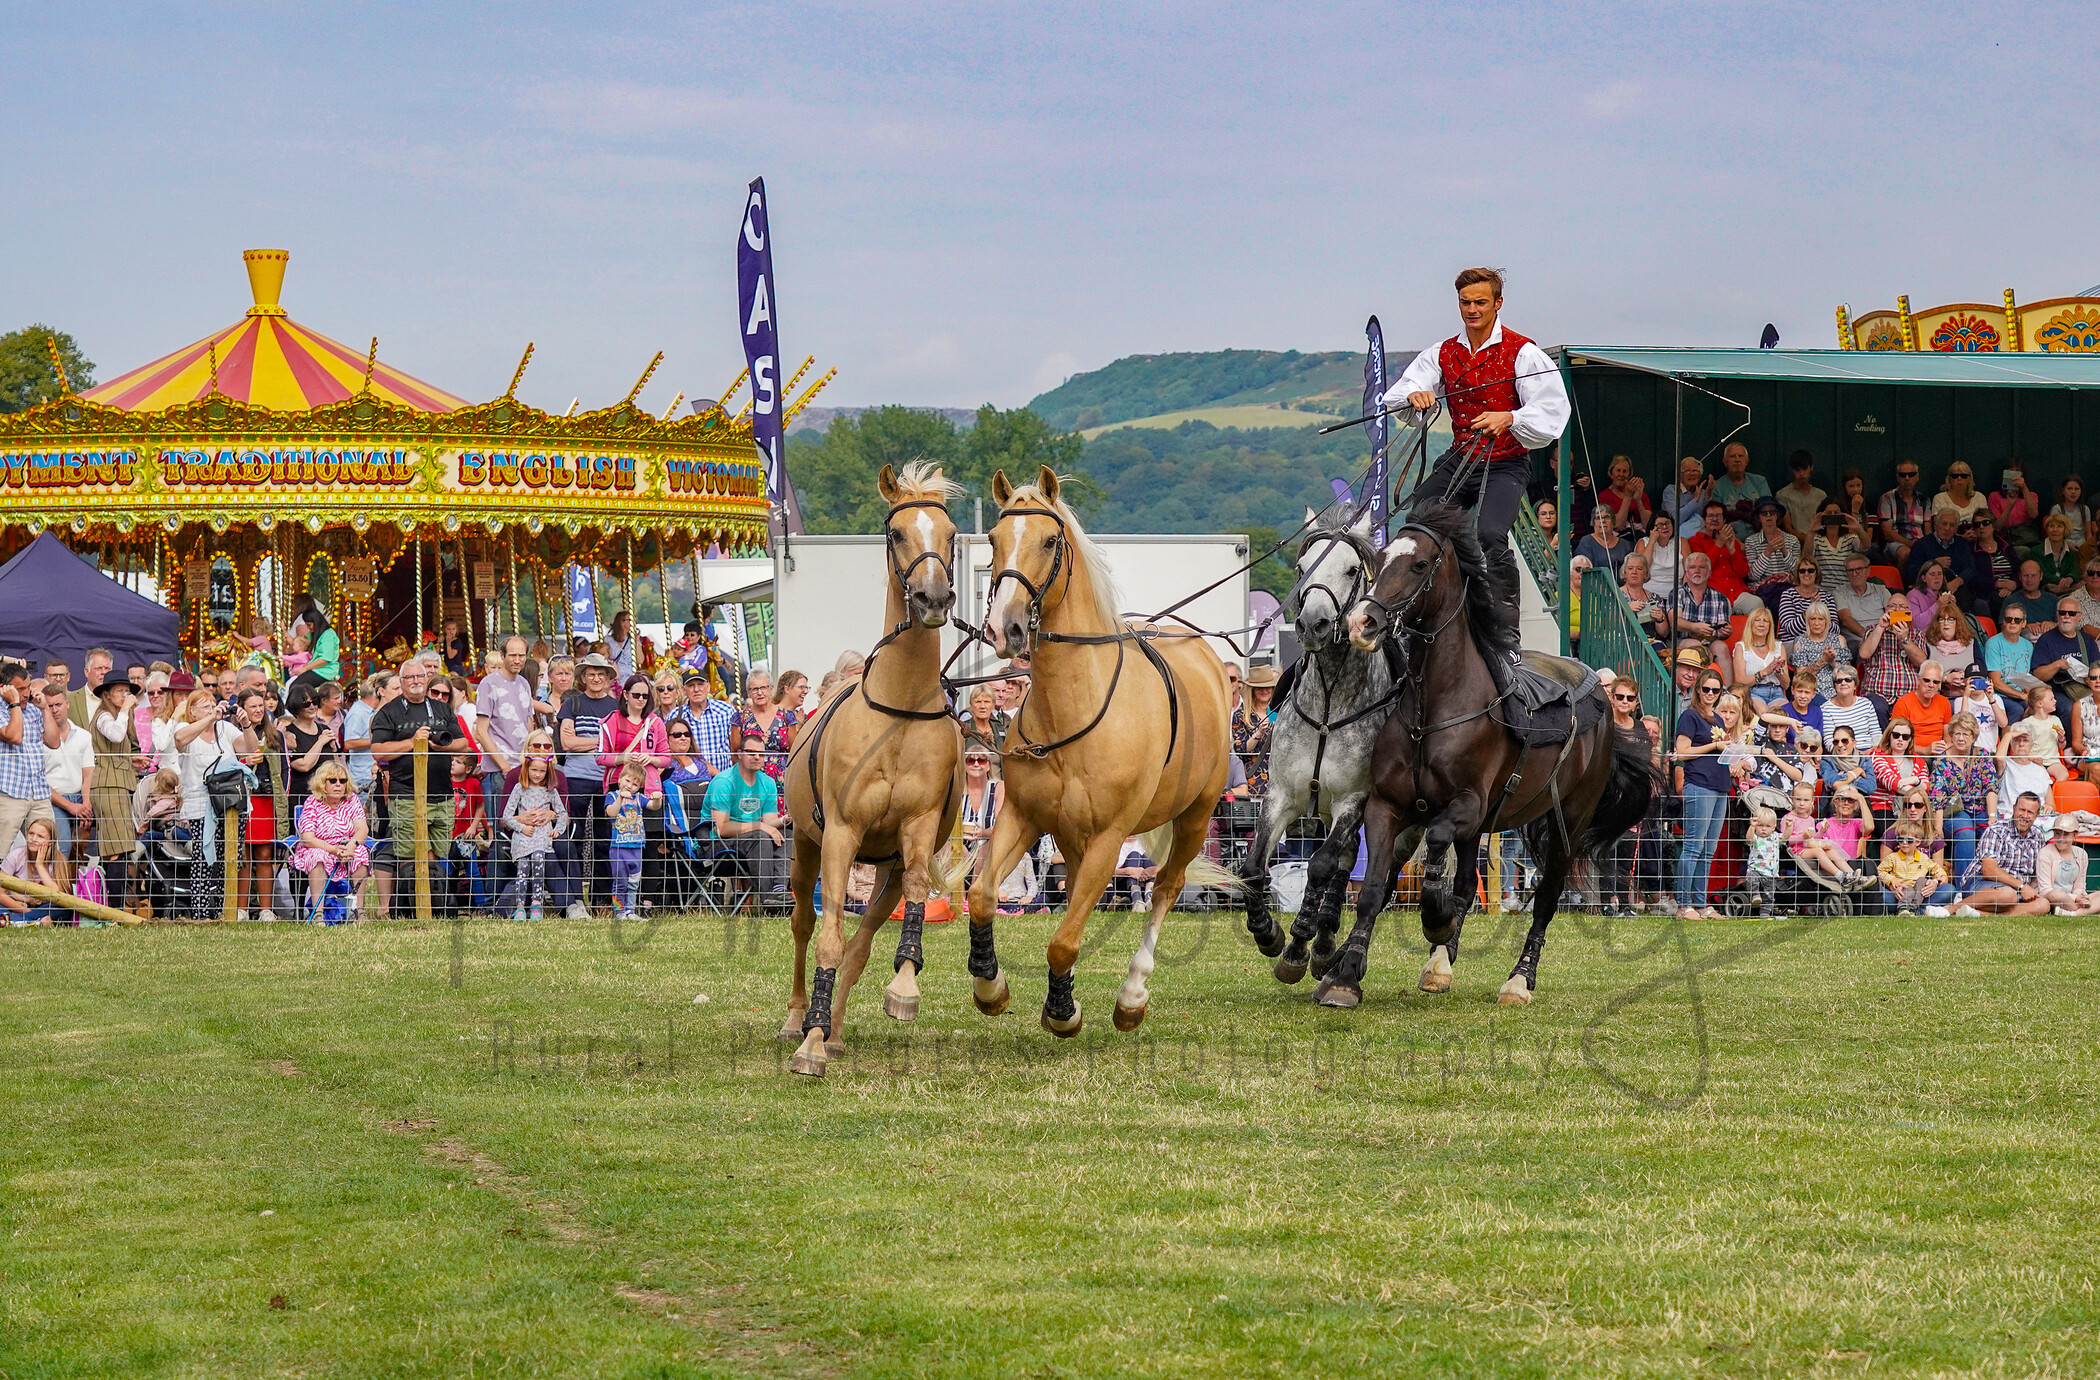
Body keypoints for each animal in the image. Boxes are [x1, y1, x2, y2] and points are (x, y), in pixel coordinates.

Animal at [785, 462, 961, 1075]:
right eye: (898, 533)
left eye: (951, 533)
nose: (933, 597)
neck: (899, 710)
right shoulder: (840, 834)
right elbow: (828, 937)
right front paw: (808, 1043)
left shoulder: (918, 827)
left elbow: (911, 898)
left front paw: (903, 989)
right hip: (805, 847)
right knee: (805, 923)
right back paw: (799, 1020)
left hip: (883, 870)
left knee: (862, 941)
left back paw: (833, 1030)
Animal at [961, 466, 1234, 1033]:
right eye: (994, 540)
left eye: (1049, 540)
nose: (1004, 627)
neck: (1073, 709)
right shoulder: (1025, 816)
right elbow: (981, 897)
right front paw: (990, 986)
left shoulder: (1110, 840)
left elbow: (1063, 942)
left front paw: (1063, 1011)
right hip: (1071, 836)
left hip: (1196, 817)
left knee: (1166, 887)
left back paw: (1133, 995)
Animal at [1335, 499, 1646, 1008]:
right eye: (1377, 562)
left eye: (1419, 564)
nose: (1362, 622)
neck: (1433, 710)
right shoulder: (1387, 806)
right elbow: (1374, 889)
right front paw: (1344, 974)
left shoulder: (1465, 806)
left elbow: (1439, 850)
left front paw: (1436, 918)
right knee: (1467, 883)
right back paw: (1440, 963)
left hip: (1568, 823)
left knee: (1547, 898)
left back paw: (1519, 979)